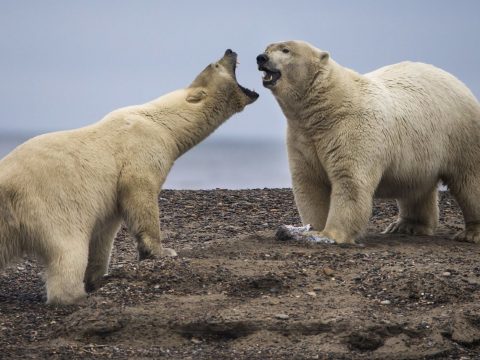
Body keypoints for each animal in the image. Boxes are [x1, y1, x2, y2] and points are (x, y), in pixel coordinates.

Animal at [0, 48, 258, 304]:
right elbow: (140, 193)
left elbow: (103, 233)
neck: (160, 121)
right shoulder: (142, 149)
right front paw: (161, 251)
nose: (230, 50)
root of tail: (8, 186)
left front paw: (96, 276)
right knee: (67, 250)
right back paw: (75, 295)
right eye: (215, 64)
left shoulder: (107, 202)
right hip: (51, 205)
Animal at [256, 41, 480, 245]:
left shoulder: (352, 129)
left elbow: (350, 181)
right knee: (416, 187)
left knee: (469, 180)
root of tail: (459, 82)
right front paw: (312, 229)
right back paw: (406, 226)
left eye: (286, 50)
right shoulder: (302, 136)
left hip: (460, 135)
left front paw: (330, 235)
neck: (328, 105)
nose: (261, 58)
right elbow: (310, 182)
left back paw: (471, 234)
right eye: (267, 48)